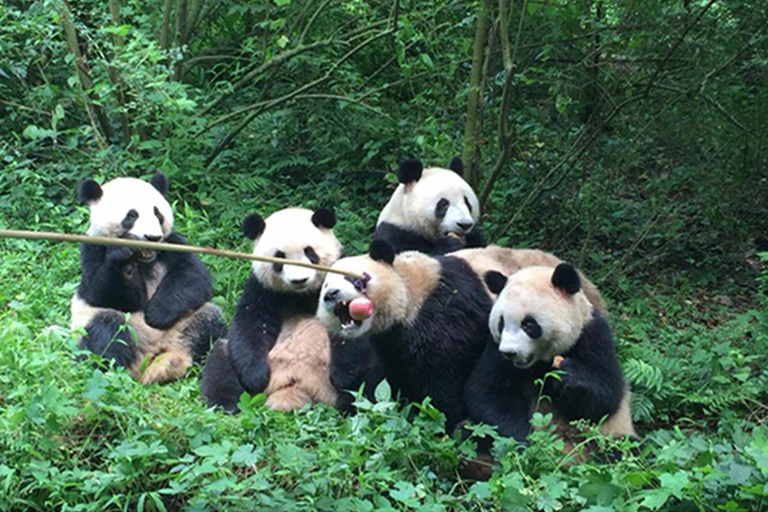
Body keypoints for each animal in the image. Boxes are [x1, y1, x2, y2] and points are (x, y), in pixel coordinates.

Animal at [70, 173, 226, 384]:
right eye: (131, 215)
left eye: (157, 213)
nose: (152, 237)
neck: (144, 259)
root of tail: (149, 357)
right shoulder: (93, 247)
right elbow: (102, 292)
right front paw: (123, 260)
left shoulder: (172, 244)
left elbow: (192, 276)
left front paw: (156, 314)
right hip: (96, 327)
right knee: (107, 329)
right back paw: (113, 372)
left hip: (183, 325)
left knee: (209, 321)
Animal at [200, 207, 342, 413]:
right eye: (279, 257)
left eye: (310, 252)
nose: (299, 280)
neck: (302, 294)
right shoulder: (263, 289)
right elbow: (251, 325)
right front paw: (257, 377)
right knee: (221, 359)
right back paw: (223, 404)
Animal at [317, 241, 606, 427]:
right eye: (326, 285)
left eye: (355, 279)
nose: (331, 295)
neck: (412, 288)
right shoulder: (388, 338)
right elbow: (372, 378)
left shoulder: (444, 314)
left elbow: (444, 380)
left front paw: (439, 419)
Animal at [464, 263, 635, 452]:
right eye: (501, 323)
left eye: (528, 324)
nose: (509, 353)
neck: (541, 362)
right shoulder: (494, 349)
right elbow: (489, 394)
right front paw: (524, 444)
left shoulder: (592, 334)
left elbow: (605, 396)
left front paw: (568, 375)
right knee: (472, 432)